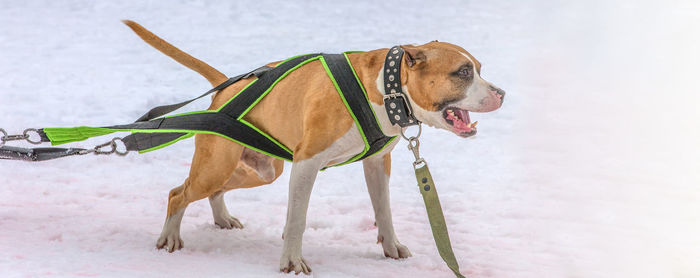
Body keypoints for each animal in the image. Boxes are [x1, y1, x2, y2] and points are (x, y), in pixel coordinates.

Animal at [120, 20, 504, 274]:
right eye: (463, 72)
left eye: (479, 68)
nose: (502, 93)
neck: (386, 88)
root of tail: (226, 88)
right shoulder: (306, 163)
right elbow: (297, 219)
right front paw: (291, 260)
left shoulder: (377, 164)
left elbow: (384, 210)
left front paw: (391, 247)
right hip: (216, 166)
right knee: (178, 193)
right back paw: (169, 239)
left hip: (260, 170)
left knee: (215, 190)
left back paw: (222, 218)